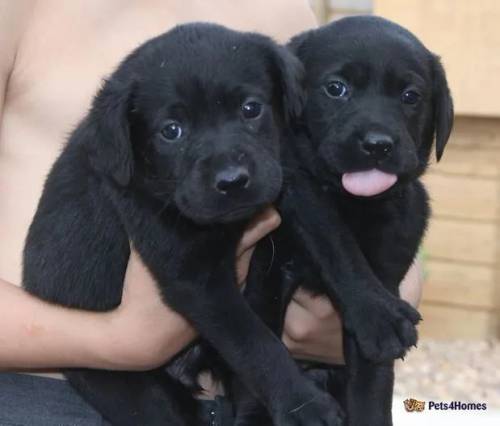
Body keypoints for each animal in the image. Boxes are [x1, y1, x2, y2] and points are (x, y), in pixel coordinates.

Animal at [24, 22, 344, 426]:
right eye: (171, 130)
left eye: (251, 109)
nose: (232, 181)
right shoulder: (196, 278)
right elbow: (255, 342)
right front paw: (304, 403)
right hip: (135, 390)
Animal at [240, 15, 456, 426]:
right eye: (335, 89)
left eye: (410, 96)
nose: (377, 145)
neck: (354, 204)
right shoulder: (273, 264)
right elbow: (333, 239)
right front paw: (375, 313)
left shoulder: (390, 261)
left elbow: (370, 396)